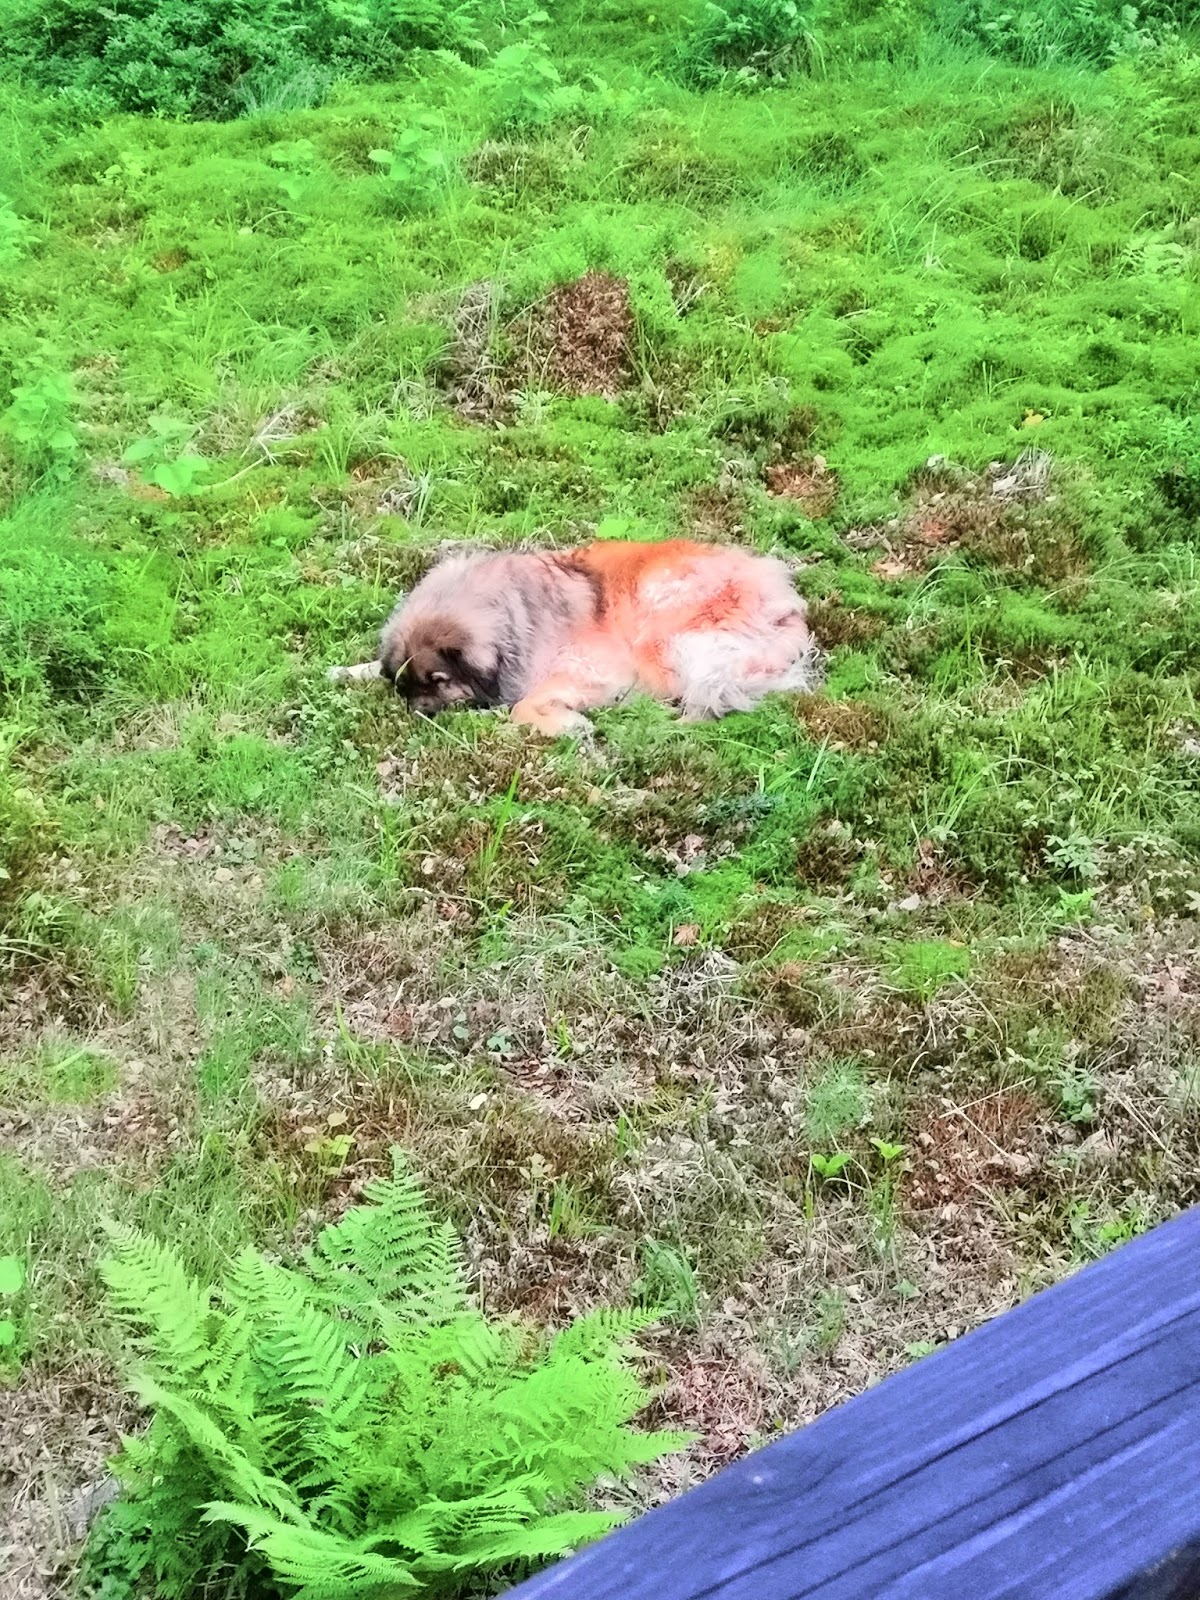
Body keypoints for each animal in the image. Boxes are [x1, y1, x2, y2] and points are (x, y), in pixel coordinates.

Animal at [329, 539, 817, 737]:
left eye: (440, 682)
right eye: (405, 687)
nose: (419, 716)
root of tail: (786, 600)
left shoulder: (589, 668)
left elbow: (523, 707)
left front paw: (568, 725)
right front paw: (345, 671)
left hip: (660, 632)